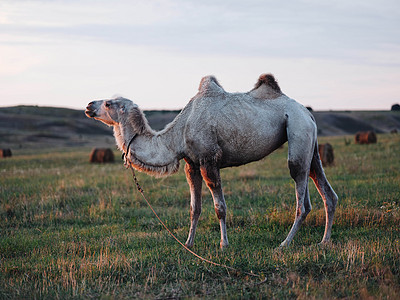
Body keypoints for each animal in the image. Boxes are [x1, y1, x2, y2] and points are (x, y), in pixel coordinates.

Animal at [85, 73, 338, 248]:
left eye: (108, 103)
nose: (88, 105)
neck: (177, 136)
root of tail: (307, 112)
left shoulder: (209, 159)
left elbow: (220, 208)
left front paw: (224, 244)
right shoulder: (192, 165)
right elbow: (194, 208)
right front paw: (188, 243)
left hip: (297, 130)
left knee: (302, 196)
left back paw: (284, 243)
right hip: (311, 145)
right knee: (327, 192)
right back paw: (324, 241)